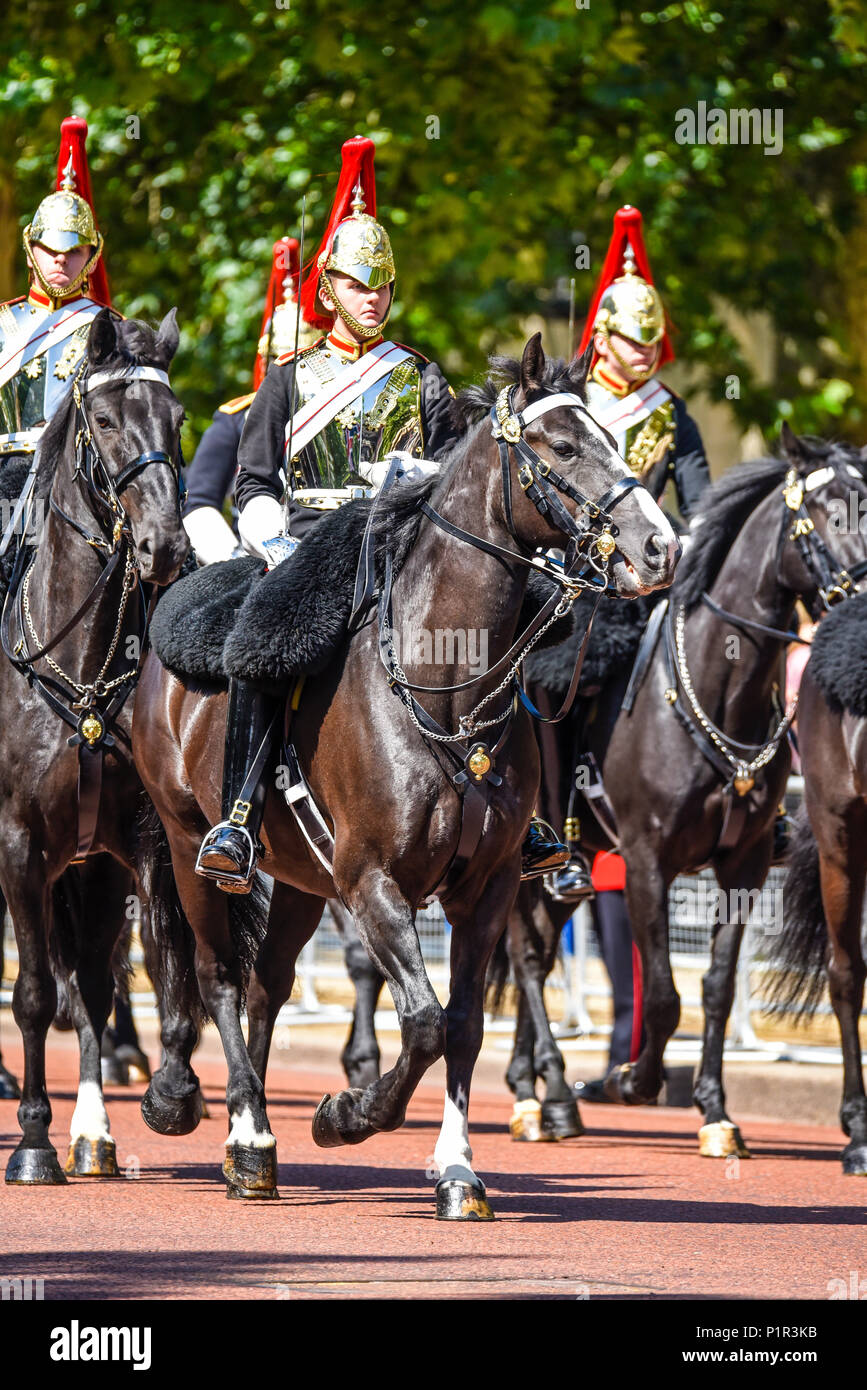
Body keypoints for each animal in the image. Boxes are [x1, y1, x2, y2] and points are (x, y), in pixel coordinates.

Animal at [131, 336, 680, 1217]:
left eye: (612, 440)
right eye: (563, 447)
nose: (659, 548)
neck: (445, 681)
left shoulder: (486, 889)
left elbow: (460, 1024)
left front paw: (457, 1171)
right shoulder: (373, 882)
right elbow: (420, 1021)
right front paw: (346, 1115)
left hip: (300, 880)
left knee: (266, 986)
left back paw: (255, 1141)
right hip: (192, 853)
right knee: (218, 976)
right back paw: (245, 1136)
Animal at [494, 430, 867, 1150]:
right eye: (828, 511)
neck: (717, 690)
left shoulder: (745, 865)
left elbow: (717, 987)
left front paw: (717, 1113)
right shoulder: (646, 863)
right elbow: (663, 995)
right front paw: (630, 1082)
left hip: (573, 867)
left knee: (541, 951)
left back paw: (535, 1093)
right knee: (526, 956)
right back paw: (548, 1095)